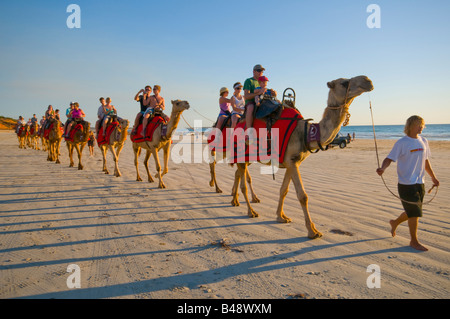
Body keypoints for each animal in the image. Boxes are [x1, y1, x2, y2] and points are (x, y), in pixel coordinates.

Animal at [211, 76, 372, 239]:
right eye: (344, 83)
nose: (368, 81)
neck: (307, 132)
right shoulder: (292, 162)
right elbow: (302, 195)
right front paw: (312, 231)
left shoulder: (292, 162)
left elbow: (284, 190)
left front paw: (281, 217)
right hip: (237, 152)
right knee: (237, 179)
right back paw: (249, 210)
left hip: (246, 156)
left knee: (238, 174)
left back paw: (235, 200)